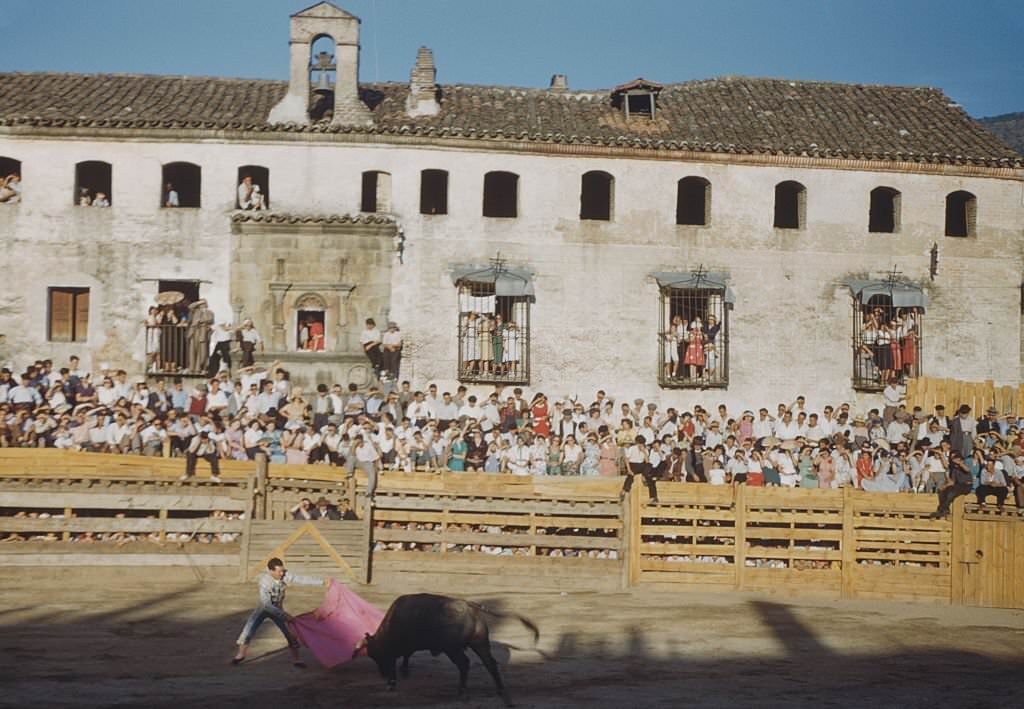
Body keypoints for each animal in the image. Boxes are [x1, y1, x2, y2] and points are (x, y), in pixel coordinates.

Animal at [354, 594, 536, 704]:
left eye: (376, 656)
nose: (382, 674)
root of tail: (470, 606)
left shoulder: (393, 651)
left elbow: (398, 660)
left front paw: (392, 683)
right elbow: (407, 656)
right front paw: (403, 672)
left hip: (453, 649)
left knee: (464, 664)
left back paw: (462, 692)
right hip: (480, 643)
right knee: (490, 664)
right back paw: (499, 690)